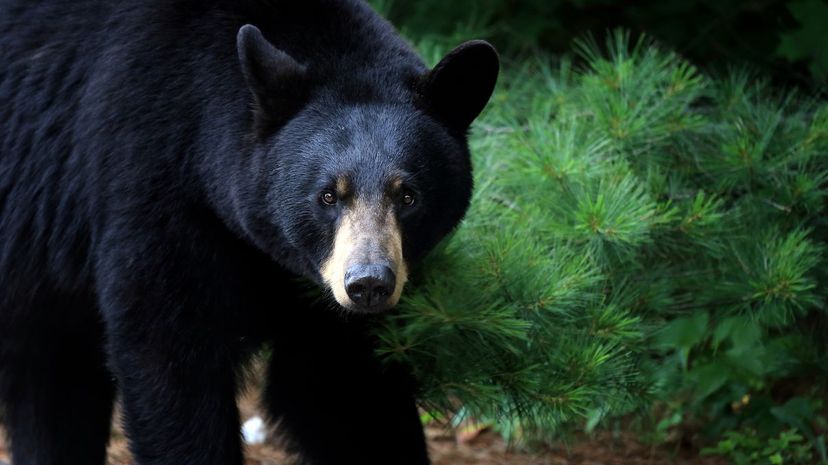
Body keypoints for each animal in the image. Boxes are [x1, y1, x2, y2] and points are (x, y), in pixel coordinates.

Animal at [0, 0, 498, 464]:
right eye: (328, 195)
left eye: (408, 196)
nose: (369, 283)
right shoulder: (150, 183)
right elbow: (170, 359)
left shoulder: (317, 294)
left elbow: (344, 390)